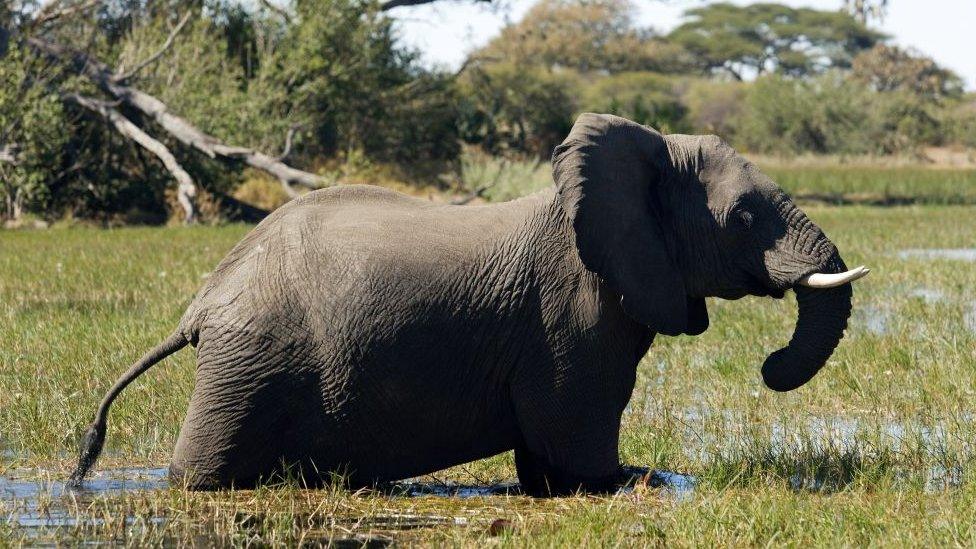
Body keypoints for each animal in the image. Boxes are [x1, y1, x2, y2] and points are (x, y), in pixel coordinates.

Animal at [70, 113, 868, 494]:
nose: (769, 365)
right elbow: (575, 444)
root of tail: (202, 303)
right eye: (741, 217)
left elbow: (546, 463)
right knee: (202, 473)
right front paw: (640, 481)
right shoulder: (569, 311)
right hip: (249, 362)